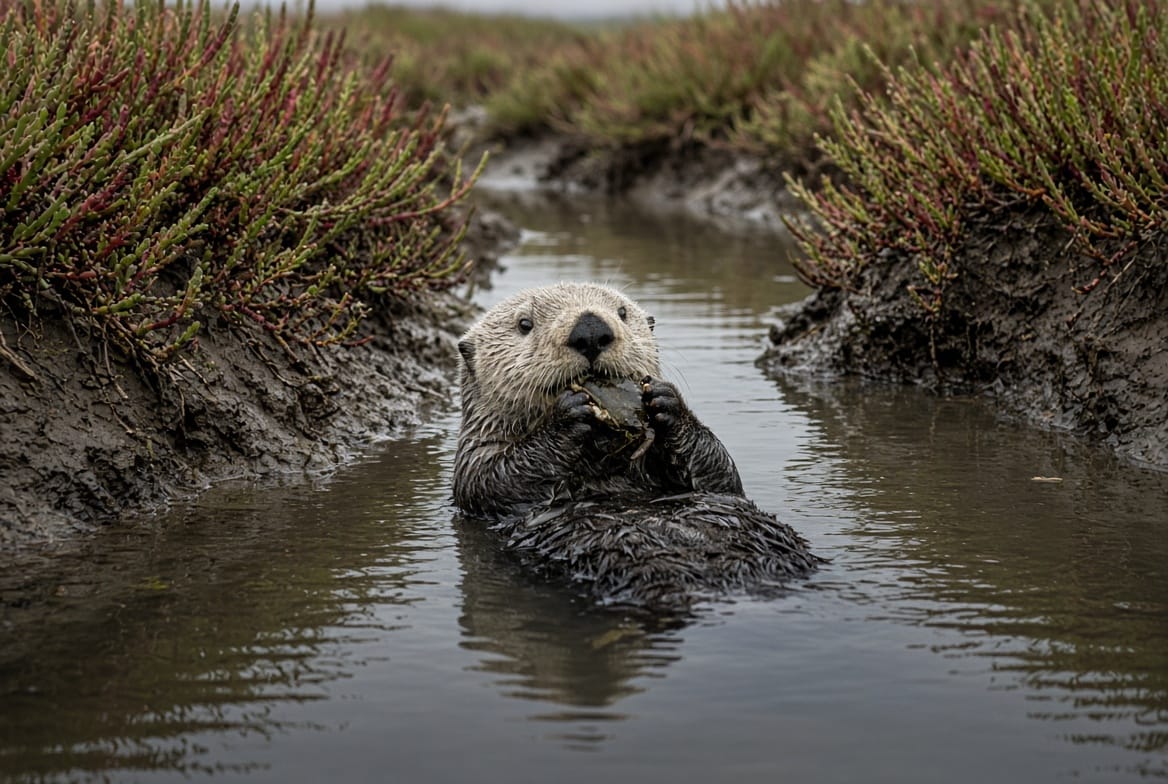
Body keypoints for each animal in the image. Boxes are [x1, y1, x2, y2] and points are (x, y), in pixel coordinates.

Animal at [454, 282, 818, 611]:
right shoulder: (476, 464)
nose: (590, 329)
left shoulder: (716, 480)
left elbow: (722, 474)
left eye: (622, 313)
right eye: (524, 324)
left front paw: (668, 403)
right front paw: (568, 413)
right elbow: (499, 480)